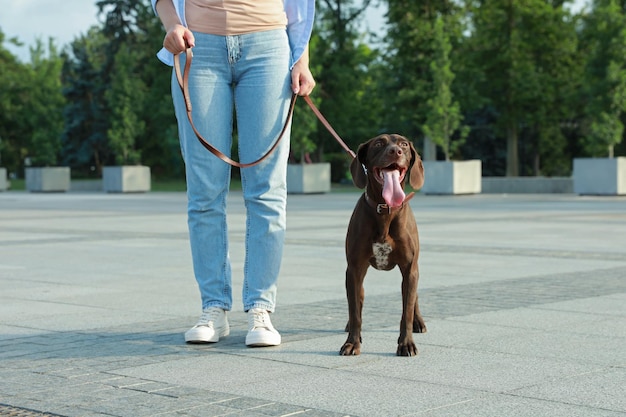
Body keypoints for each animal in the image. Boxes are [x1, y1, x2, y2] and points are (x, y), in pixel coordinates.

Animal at [338, 133, 426, 354]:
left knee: (414, 298)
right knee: (358, 301)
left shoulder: (409, 268)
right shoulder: (354, 269)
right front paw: (352, 342)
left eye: (404, 144)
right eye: (378, 143)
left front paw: (406, 343)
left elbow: (406, 311)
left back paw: (418, 322)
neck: (385, 209)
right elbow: (355, 311)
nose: (396, 151)